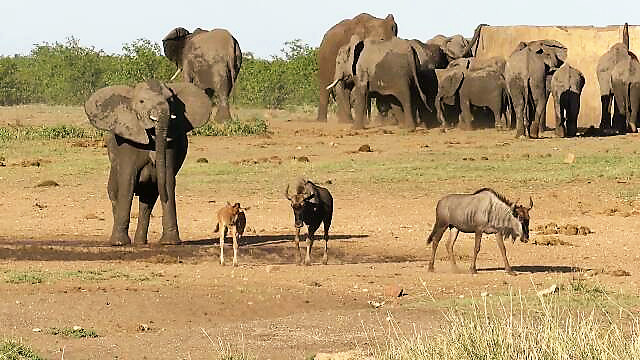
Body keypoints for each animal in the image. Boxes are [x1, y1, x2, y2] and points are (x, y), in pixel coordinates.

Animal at [83, 80, 210, 246]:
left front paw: (170, 243)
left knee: (148, 199)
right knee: (115, 191)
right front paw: (120, 243)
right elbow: (127, 181)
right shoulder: (127, 141)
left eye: (171, 100)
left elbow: (168, 180)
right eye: (142, 102)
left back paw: (140, 243)